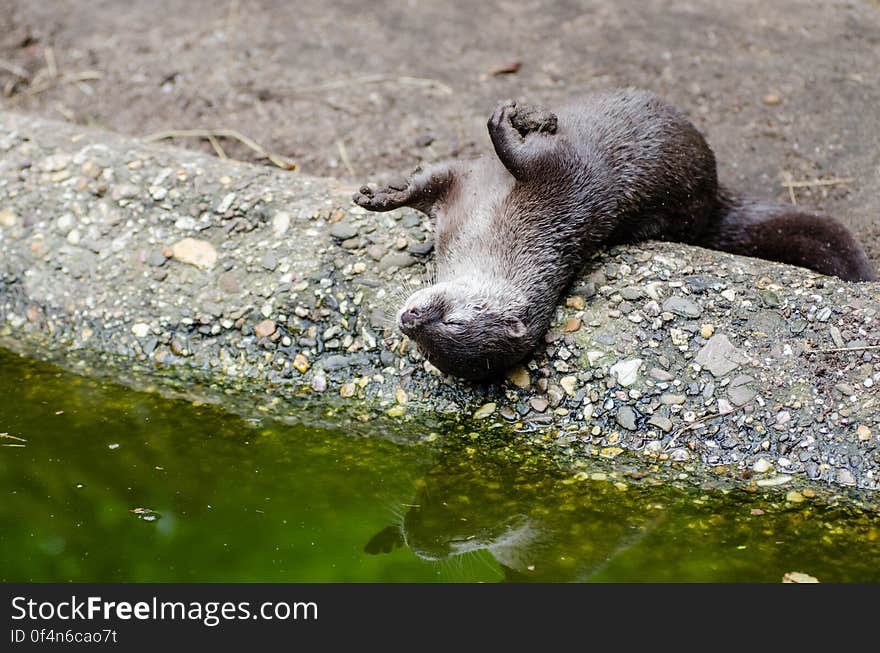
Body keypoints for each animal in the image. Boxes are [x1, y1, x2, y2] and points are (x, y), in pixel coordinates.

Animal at [354, 89, 876, 380]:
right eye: (422, 349)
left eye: (452, 324)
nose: (409, 320)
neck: (493, 228)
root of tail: (713, 194)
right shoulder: (460, 192)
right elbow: (426, 184)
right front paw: (380, 196)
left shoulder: (563, 182)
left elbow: (526, 153)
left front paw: (509, 122)